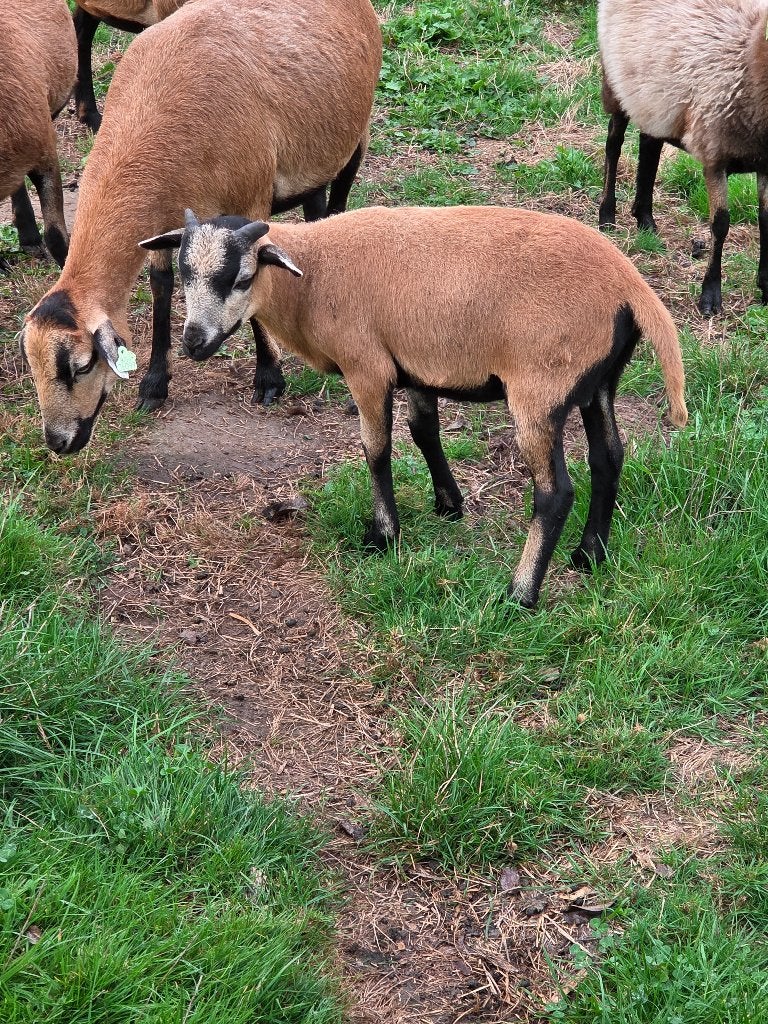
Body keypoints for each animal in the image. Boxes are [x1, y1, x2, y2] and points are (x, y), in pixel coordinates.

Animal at [137, 205, 688, 609]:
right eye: (183, 273)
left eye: (242, 278)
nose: (193, 343)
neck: (311, 278)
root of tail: (629, 283)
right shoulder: (418, 364)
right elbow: (424, 430)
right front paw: (448, 504)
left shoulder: (368, 366)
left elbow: (376, 450)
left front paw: (384, 535)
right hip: (598, 381)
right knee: (608, 458)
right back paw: (590, 554)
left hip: (540, 387)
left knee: (555, 493)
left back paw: (521, 593)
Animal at [598, 0, 768, 316]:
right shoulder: (714, 155)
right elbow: (721, 224)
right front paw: (710, 296)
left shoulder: (765, 162)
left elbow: (765, 219)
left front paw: (766, 287)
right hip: (615, 80)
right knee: (613, 144)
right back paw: (607, 214)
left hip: (652, 96)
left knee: (649, 144)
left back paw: (645, 219)